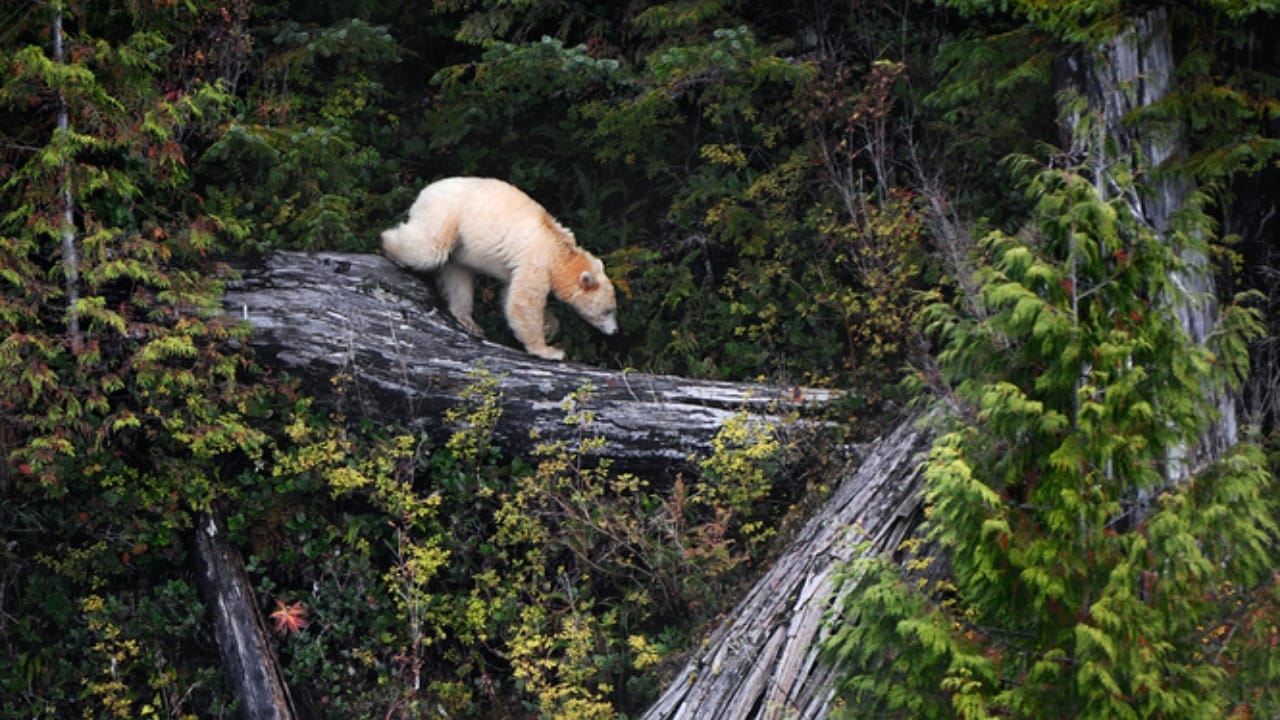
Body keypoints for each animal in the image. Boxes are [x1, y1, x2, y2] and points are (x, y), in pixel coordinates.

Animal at [380, 177, 618, 360]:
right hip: (446, 214)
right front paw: (549, 351)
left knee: (458, 276)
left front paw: (550, 326)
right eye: (608, 310)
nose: (615, 331)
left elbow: (509, 294)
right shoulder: (536, 260)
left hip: (460, 243)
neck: (560, 254)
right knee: (429, 248)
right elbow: (524, 302)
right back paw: (388, 245)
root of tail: (425, 191)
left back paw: (468, 321)